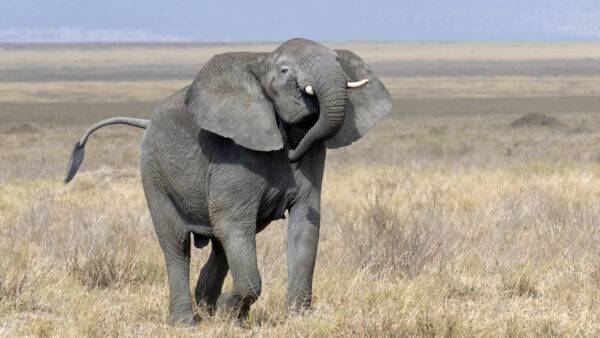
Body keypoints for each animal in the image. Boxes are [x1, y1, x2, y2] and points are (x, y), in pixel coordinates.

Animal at [65, 37, 392, 324]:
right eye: (285, 71)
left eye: (338, 61)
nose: (291, 155)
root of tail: (148, 122)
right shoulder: (234, 153)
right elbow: (232, 222)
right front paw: (227, 311)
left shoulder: (313, 154)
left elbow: (305, 224)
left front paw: (297, 319)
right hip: (154, 173)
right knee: (177, 244)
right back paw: (187, 321)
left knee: (222, 245)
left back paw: (209, 308)